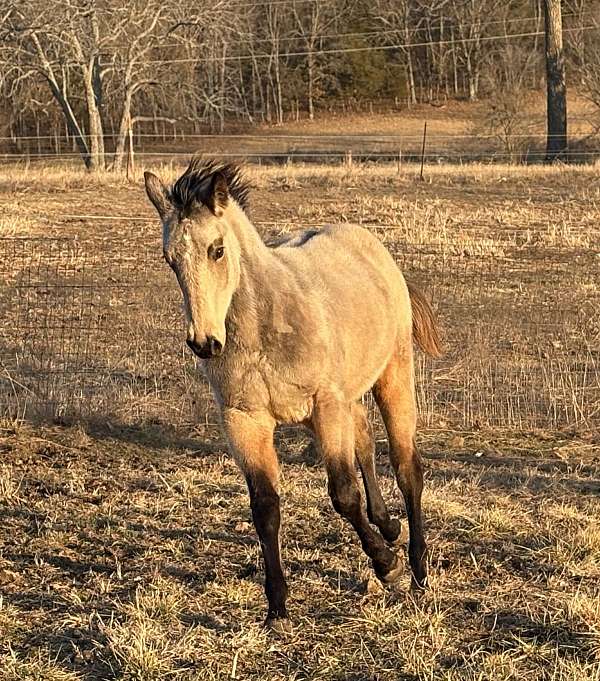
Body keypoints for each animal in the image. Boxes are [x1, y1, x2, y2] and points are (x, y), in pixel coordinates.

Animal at [144, 158, 442, 633]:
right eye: (170, 260)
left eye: (216, 250)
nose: (204, 342)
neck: (267, 327)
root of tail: (372, 248)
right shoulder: (244, 420)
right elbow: (265, 507)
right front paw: (277, 609)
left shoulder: (325, 406)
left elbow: (343, 493)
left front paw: (387, 566)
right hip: (343, 399)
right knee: (363, 437)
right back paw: (388, 526)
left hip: (392, 376)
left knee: (405, 464)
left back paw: (415, 567)